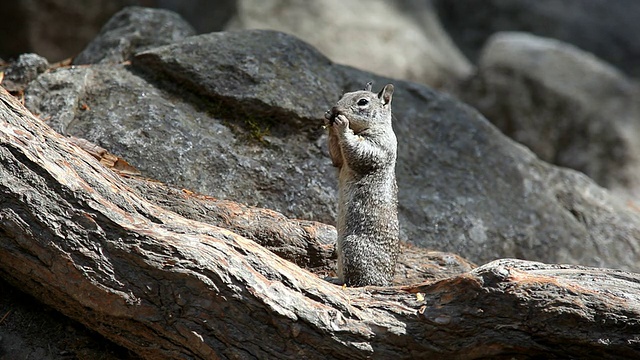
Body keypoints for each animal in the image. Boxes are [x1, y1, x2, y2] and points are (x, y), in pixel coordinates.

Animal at [324, 82, 400, 286]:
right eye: (344, 94)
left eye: (363, 102)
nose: (335, 109)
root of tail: (386, 282)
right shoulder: (339, 159)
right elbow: (336, 156)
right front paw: (329, 122)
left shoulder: (379, 146)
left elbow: (359, 151)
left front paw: (342, 125)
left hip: (353, 248)